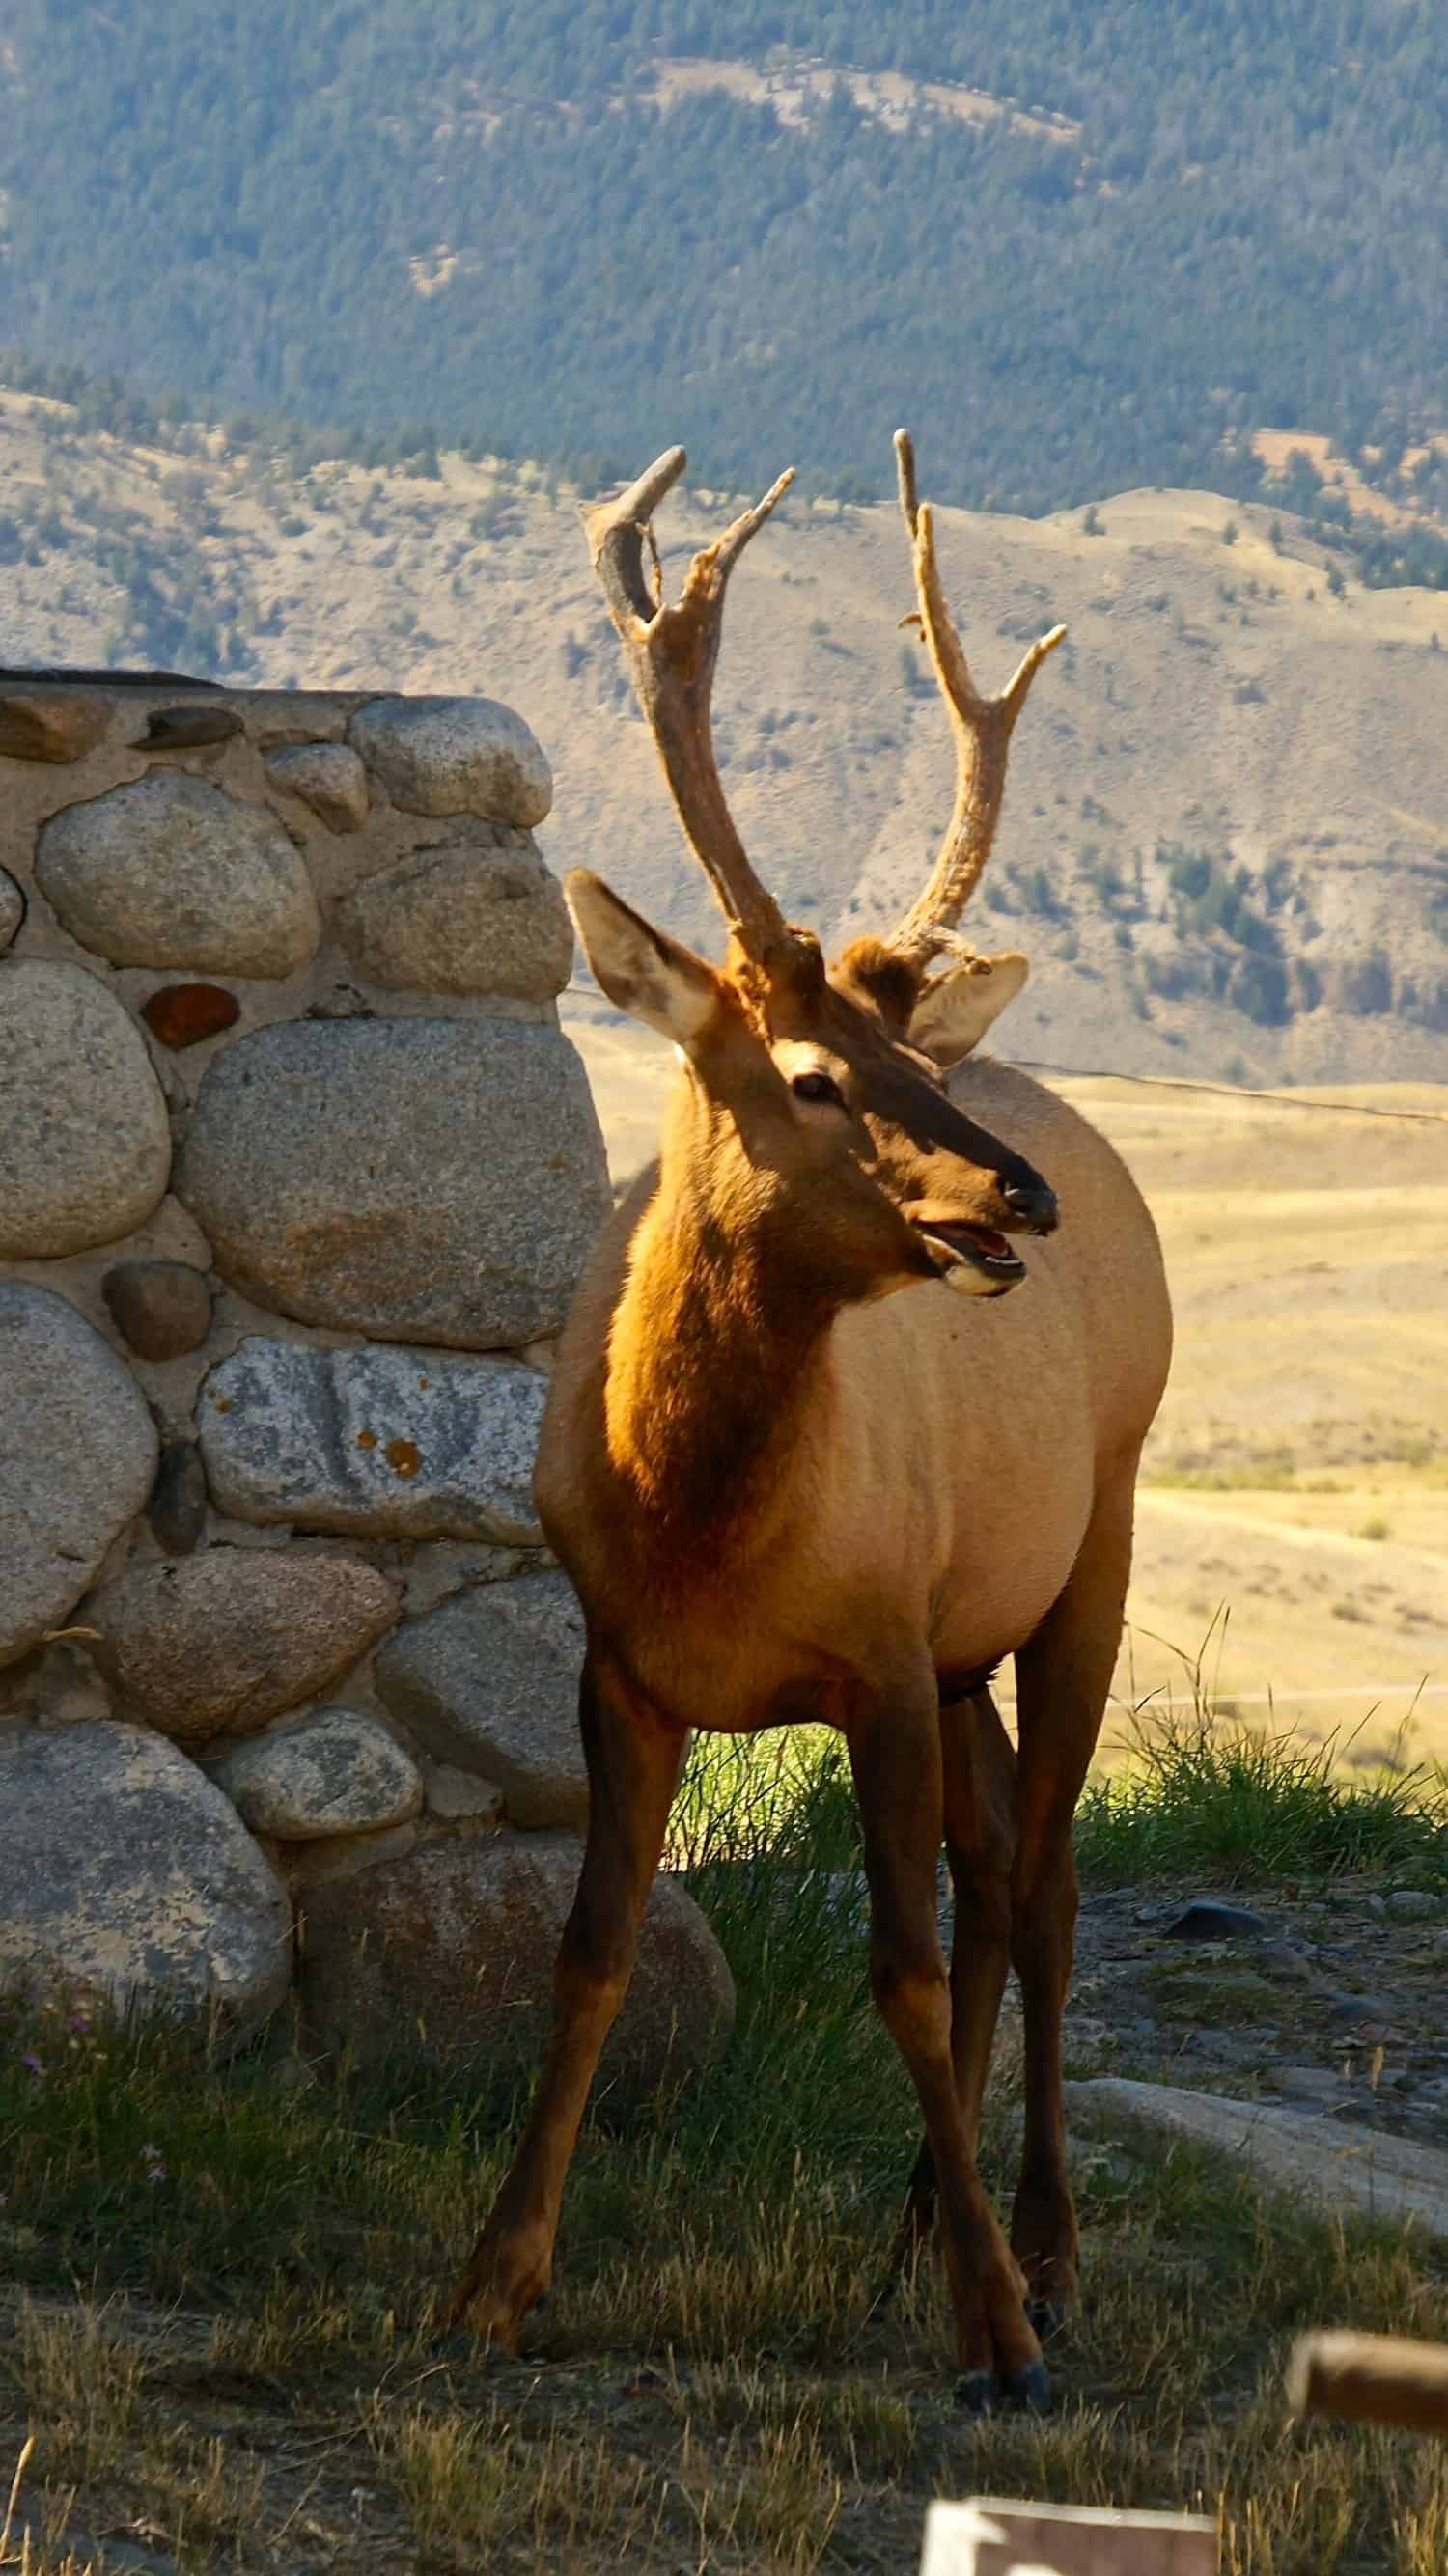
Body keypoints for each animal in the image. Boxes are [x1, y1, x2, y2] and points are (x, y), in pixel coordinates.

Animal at [445, 428, 1164, 2411]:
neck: (699, 1522)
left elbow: (900, 1966)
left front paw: (1001, 2337)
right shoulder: (624, 1662)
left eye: (914, 1058)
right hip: (971, 1635)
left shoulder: (880, 1641)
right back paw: (921, 2225)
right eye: (817, 1072)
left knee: (1046, 1878)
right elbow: (592, 1947)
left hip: (1098, 1535)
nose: (1014, 1201)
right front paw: (491, 2280)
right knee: (1000, 1860)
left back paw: (1042, 2250)